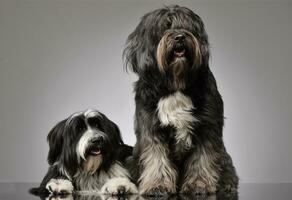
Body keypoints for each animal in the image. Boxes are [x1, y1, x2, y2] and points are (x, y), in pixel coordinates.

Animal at [123, 5, 240, 196]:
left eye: (187, 26)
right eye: (165, 26)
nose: (179, 36)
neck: (176, 84)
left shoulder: (206, 127)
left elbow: (202, 158)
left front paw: (199, 184)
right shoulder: (151, 127)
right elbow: (156, 157)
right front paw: (157, 185)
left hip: (224, 157)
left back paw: (226, 184)